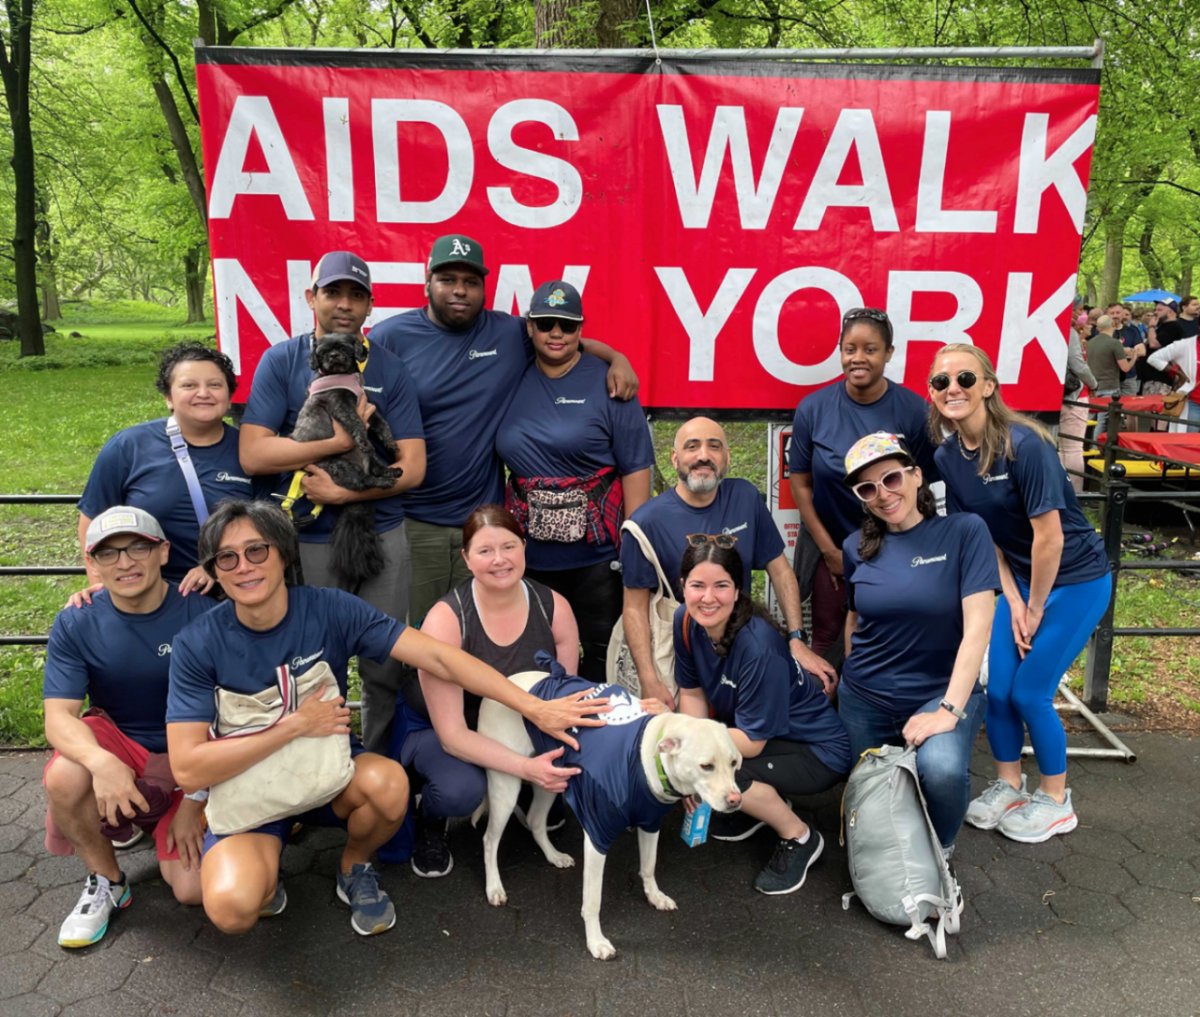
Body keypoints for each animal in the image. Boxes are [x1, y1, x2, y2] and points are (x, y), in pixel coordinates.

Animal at [291, 333, 405, 582]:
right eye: (322, 352)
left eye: (344, 348)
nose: (334, 356)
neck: (343, 376)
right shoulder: (340, 404)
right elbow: (356, 422)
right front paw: (363, 440)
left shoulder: (368, 404)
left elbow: (382, 423)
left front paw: (390, 441)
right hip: (341, 466)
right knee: (362, 482)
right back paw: (382, 481)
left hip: (371, 461)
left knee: (376, 466)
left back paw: (391, 471)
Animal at [475, 666, 739, 959]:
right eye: (706, 766)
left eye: (734, 762)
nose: (736, 800)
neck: (646, 757)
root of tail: (507, 680)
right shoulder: (597, 836)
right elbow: (593, 901)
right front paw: (595, 941)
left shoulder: (650, 823)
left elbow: (648, 866)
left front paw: (654, 895)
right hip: (506, 787)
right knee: (489, 840)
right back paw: (494, 887)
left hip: (550, 776)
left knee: (534, 820)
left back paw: (554, 856)